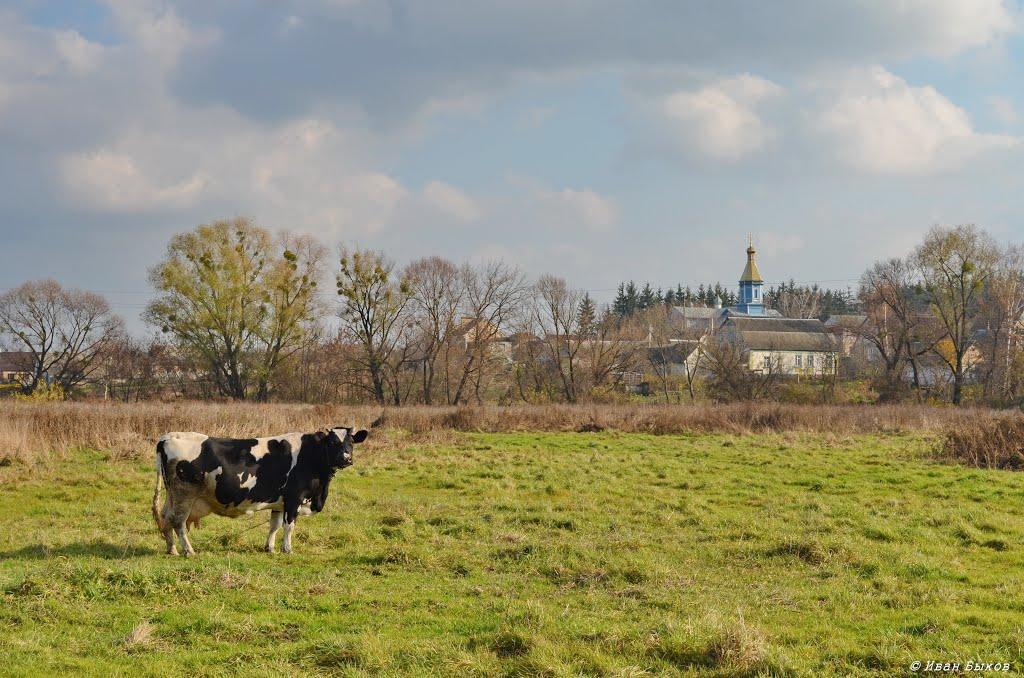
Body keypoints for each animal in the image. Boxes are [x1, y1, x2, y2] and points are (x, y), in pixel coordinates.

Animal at [151, 430, 368, 557]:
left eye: (351, 442)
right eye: (332, 442)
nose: (346, 458)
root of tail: (169, 436)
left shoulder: (280, 502)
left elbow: (274, 525)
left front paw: (269, 548)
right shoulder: (293, 498)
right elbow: (289, 526)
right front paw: (287, 549)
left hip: (172, 495)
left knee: (165, 517)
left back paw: (171, 549)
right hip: (184, 495)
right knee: (178, 521)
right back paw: (189, 551)